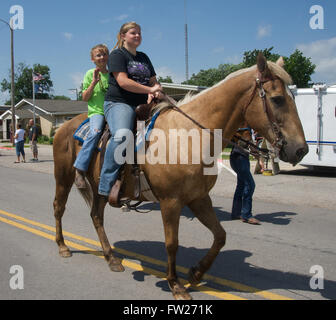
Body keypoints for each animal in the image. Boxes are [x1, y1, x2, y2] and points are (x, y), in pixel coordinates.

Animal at [52, 52, 308, 300]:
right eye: (277, 99)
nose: (300, 150)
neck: (188, 136)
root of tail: (62, 127)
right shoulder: (171, 202)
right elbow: (172, 243)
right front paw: (175, 284)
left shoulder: (198, 198)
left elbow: (220, 235)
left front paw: (196, 272)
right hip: (63, 179)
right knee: (59, 208)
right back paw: (63, 247)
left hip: (98, 187)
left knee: (96, 216)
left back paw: (111, 257)